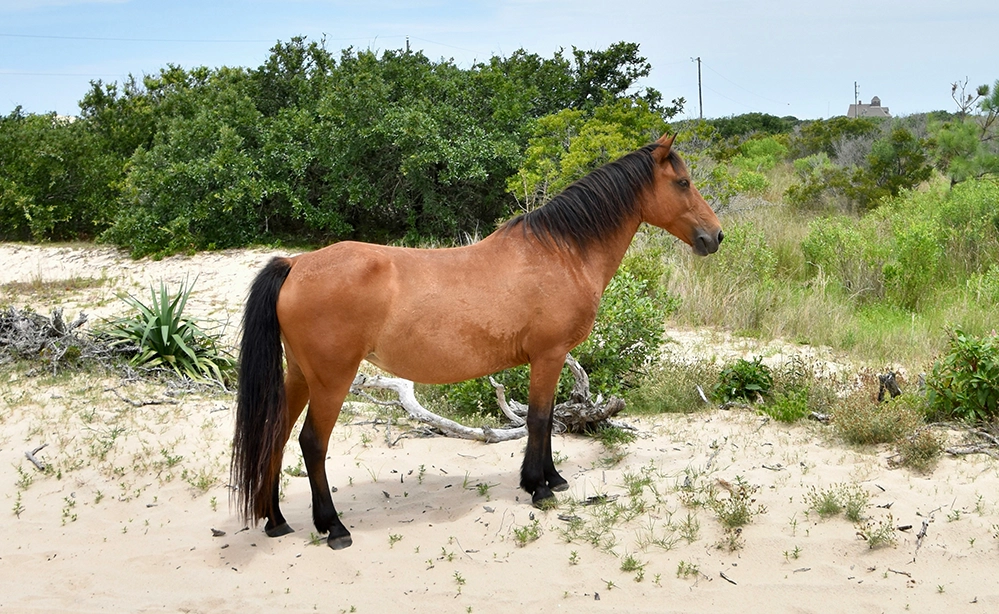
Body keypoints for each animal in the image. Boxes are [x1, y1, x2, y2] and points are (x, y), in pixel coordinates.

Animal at [231, 133, 723, 550]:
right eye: (682, 182)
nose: (715, 236)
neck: (561, 252)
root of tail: (295, 264)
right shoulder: (549, 356)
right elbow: (539, 419)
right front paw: (539, 487)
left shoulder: (547, 359)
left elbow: (544, 419)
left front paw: (552, 479)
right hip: (332, 380)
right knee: (312, 443)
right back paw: (333, 527)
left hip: (300, 375)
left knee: (275, 435)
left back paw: (276, 521)